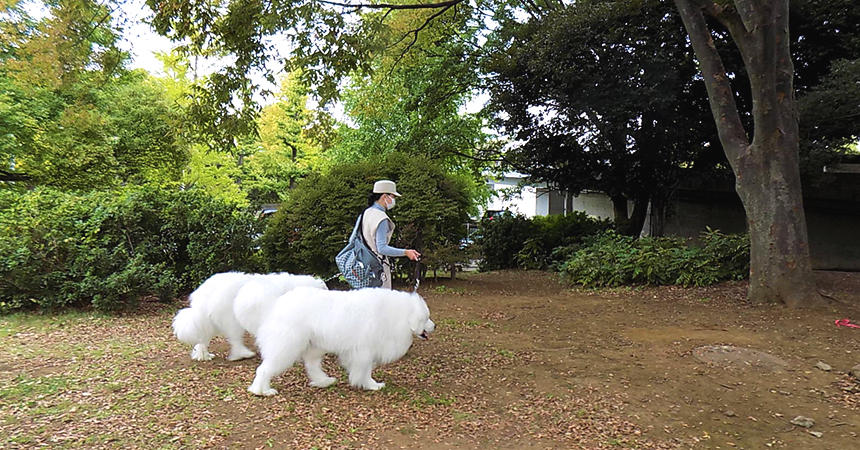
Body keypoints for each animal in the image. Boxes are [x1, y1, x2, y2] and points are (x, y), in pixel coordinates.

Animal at [173, 270, 328, 362]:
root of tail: (203, 293)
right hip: (230, 321)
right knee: (235, 340)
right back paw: (243, 354)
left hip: (210, 323)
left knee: (202, 342)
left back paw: (203, 356)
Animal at [249, 286, 436, 396]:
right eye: (426, 318)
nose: (435, 326)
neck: (397, 315)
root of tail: (276, 304)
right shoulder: (364, 351)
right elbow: (364, 371)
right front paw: (370, 385)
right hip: (286, 347)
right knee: (264, 369)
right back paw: (262, 391)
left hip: (314, 347)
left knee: (312, 366)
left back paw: (323, 381)